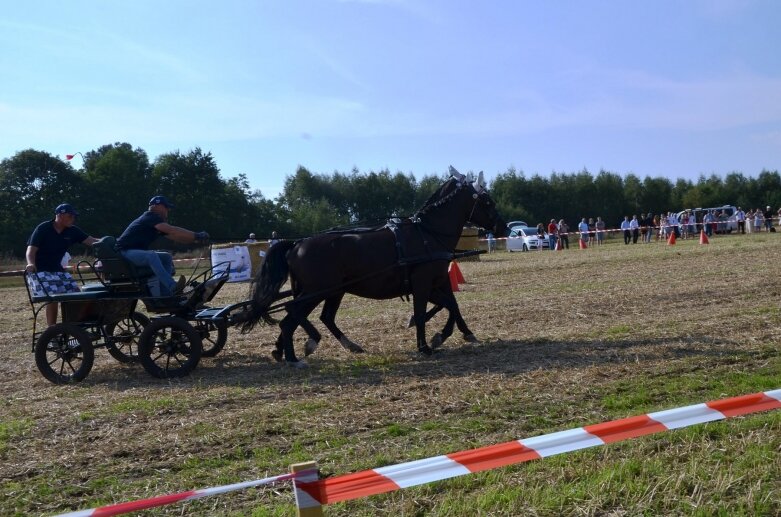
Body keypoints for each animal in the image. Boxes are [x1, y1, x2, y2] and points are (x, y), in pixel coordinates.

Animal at [239, 167, 506, 364]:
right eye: (487, 201)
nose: (503, 227)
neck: (427, 234)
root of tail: (298, 243)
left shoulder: (438, 281)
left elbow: (452, 305)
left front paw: (455, 334)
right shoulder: (422, 284)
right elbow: (426, 311)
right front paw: (425, 345)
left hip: (328, 291)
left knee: (313, 316)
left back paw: (305, 348)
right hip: (318, 290)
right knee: (292, 314)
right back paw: (298, 353)